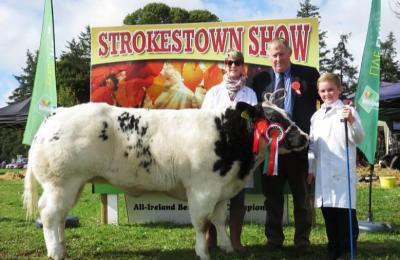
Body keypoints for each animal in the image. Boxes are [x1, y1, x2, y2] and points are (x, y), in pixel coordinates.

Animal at [23, 101, 308, 260]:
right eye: (275, 119)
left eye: (287, 114)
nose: (305, 136)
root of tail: (55, 114)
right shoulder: (202, 189)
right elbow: (202, 223)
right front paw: (203, 252)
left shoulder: (221, 189)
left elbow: (219, 220)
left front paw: (227, 247)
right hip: (62, 182)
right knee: (49, 214)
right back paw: (56, 252)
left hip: (72, 185)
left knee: (60, 217)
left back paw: (62, 248)